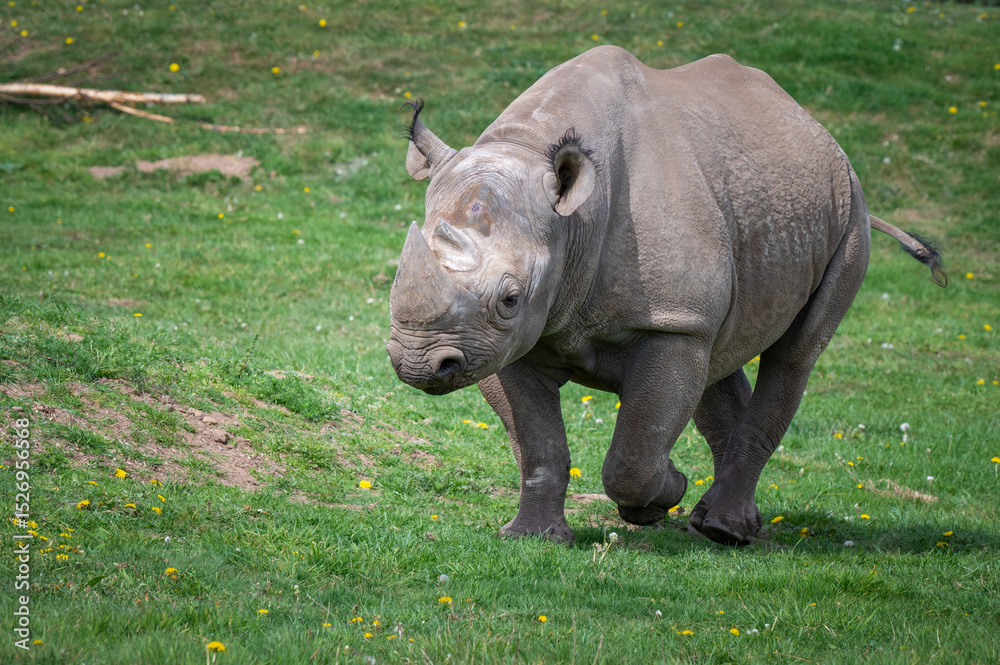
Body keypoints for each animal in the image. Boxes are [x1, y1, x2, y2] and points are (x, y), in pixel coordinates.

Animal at [386, 46, 944, 546]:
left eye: (509, 299)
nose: (417, 362)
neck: (571, 221)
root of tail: (815, 128)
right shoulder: (505, 342)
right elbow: (539, 445)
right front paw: (533, 538)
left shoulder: (667, 321)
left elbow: (634, 454)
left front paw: (660, 497)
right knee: (720, 351)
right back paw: (727, 523)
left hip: (849, 215)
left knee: (794, 354)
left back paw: (722, 530)